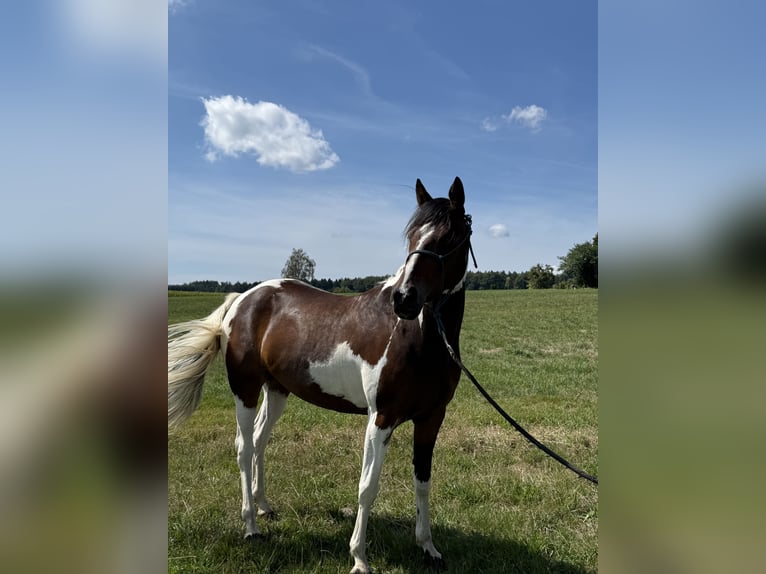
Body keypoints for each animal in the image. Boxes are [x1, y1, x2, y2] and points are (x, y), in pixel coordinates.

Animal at [168, 177, 474, 574]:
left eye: (450, 237)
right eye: (411, 236)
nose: (404, 299)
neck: (417, 338)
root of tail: (242, 299)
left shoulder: (431, 418)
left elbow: (422, 481)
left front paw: (428, 547)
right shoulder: (381, 419)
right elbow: (367, 487)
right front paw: (359, 558)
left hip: (276, 390)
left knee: (261, 441)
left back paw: (264, 507)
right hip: (245, 390)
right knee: (244, 447)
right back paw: (250, 526)